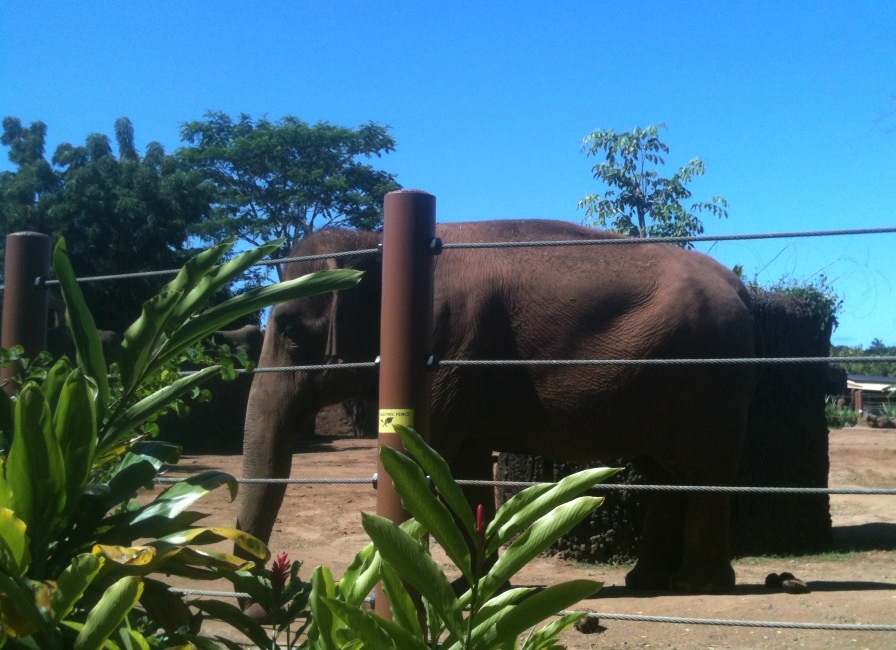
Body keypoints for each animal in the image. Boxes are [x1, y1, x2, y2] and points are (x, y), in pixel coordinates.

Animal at [238, 219, 757, 593]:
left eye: (290, 331)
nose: (276, 587)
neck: (377, 240)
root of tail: (739, 286)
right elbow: (462, 472)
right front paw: (474, 585)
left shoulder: (443, 354)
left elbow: (428, 464)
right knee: (664, 472)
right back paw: (646, 581)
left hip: (708, 375)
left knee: (705, 469)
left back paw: (697, 584)